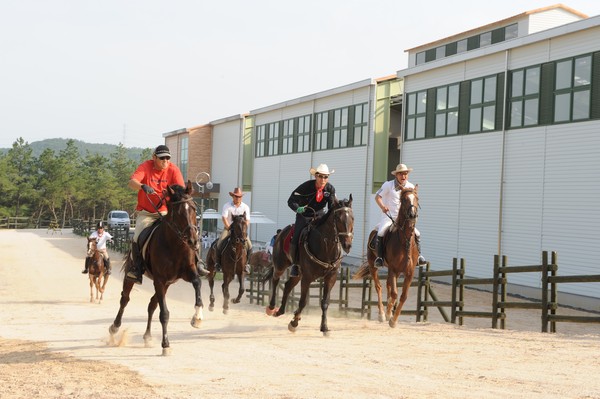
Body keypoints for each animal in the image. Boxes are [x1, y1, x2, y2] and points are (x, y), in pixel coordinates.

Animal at [106, 181, 203, 356]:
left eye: (193, 208)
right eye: (178, 213)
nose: (193, 241)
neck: (175, 245)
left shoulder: (188, 272)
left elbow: (197, 282)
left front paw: (197, 318)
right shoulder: (159, 279)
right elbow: (164, 314)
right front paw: (166, 345)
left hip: (167, 284)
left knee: (152, 304)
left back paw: (147, 336)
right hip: (136, 277)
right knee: (125, 299)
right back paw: (114, 328)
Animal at [264, 195, 354, 336]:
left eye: (352, 218)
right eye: (338, 218)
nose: (347, 245)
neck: (325, 247)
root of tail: (281, 233)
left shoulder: (331, 277)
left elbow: (325, 303)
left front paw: (324, 327)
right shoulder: (307, 278)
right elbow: (302, 302)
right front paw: (294, 323)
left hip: (298, 273)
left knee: (288, 285)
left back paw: (281, 311)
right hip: (280, 265)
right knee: (275, 279)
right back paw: (272, 307)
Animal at [354, 187, 420, 328]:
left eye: (416, 198)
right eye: (404, 199)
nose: (412, 215)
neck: (405, 241)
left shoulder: (409, 273)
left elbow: (403, 296)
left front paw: (393, 319)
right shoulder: (393, 269)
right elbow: (394, 294)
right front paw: (389, 314)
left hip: (396, 271)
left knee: (389, 285)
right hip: (374, 266)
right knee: (379, 286)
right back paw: (382, 314)